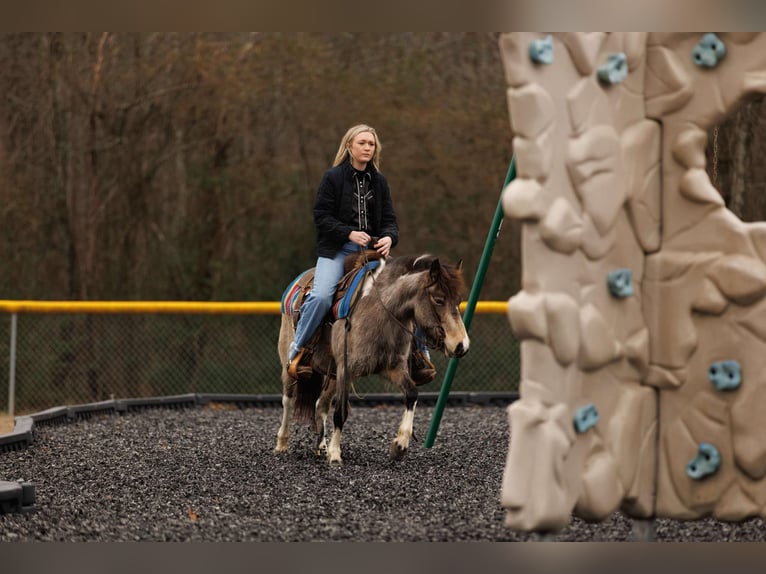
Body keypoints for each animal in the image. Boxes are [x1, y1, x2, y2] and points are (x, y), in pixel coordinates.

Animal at [272, 254, 472, 466]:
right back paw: (282, 444)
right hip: (291, 367)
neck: (380, 312)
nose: (462, 345)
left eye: (458, 300)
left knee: (321, 406)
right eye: (439, 299)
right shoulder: (346, 370)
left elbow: (411, 393)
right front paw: (335, 454)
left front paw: (399, 445)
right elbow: (340, 413)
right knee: (288, 401)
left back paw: (321, 447)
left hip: (331, 374)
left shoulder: (392, 368)